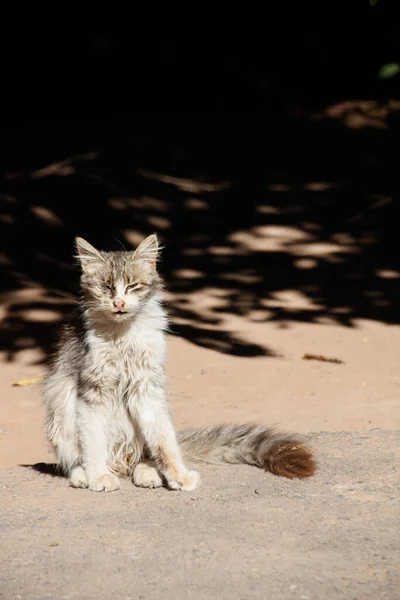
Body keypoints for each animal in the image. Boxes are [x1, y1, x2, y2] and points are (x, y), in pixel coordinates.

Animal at [43, 234, 316, 492]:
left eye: (133, 287)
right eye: (107, 287)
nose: (119, 303)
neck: (123, 336)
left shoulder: (147, 389)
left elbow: (165, 445)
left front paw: (178, 476)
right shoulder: (92, 391)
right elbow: (94, 444)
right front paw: (98, 476)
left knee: (143, 457)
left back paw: (148, 473)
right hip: (60, 406)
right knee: (78, 460)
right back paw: (84, 475)